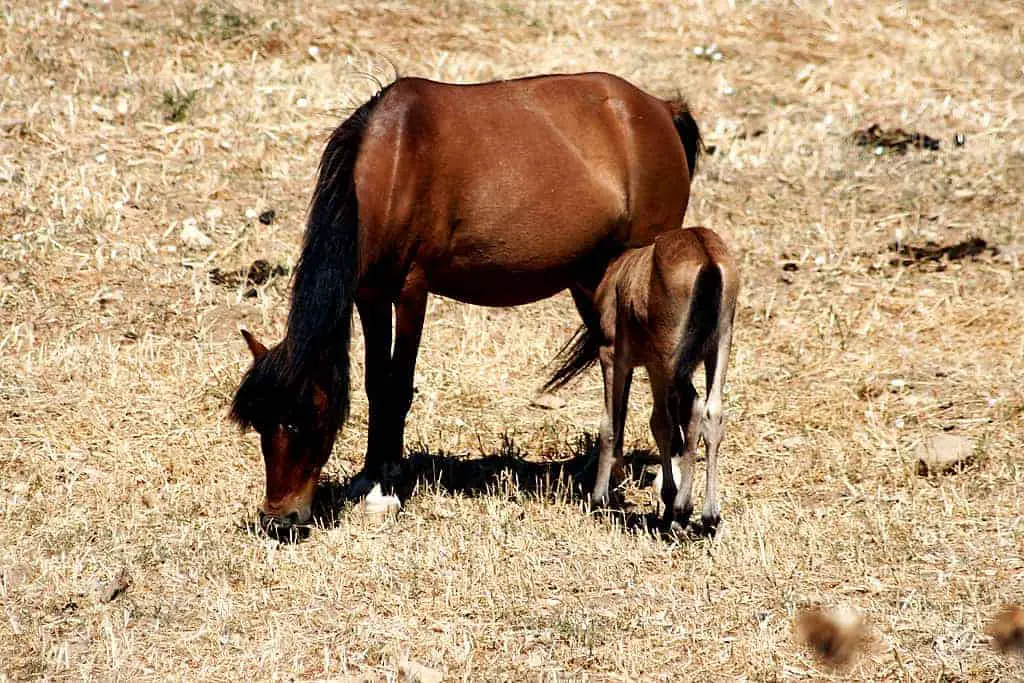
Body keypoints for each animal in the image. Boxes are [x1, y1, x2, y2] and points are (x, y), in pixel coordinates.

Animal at [228, 73, 700, 532]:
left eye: (301, 419)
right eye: (259, 422)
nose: (279, 518)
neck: (394, 165)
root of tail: (660, 109)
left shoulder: (411, 292)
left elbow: (397, 387)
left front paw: (386, 491)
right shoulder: (371, 295)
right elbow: (376, 384)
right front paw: (368, 479)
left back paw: (670, 477)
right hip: (592, 281)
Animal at [544, 227, 737, 532]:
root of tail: (704, 254)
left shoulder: (613, 357)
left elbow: (612, 423)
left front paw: (599, 498)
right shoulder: (653, 366)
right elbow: (660, 424)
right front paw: (667, 498)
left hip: (674, 358)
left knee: (693, 408)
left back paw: (683, 509)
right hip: (718, 347)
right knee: (712, 413)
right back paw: (709, 515)